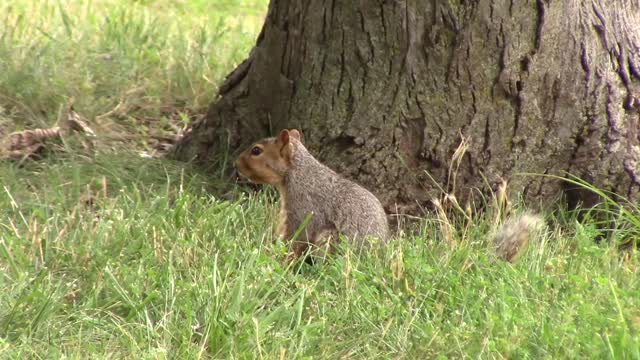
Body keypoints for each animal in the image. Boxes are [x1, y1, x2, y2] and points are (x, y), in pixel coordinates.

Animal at [232, 128, 388, 260]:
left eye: (256, 150)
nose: (236, 163)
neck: (300, 173)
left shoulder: (303, 209)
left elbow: (297, 238)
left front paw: (282, 259)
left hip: (330, 239)